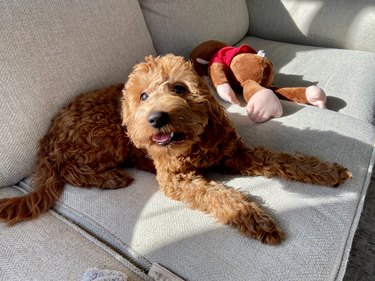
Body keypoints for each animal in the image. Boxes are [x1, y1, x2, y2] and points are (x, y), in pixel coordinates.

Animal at [0, 54, 352, 243]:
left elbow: (285, 159)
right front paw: (254, 218)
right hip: (107, 135)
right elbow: (221, 196)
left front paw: (326, 171)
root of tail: (47, 137)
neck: (193, 141)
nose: (156, 118)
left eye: (180, 88)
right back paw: (110, 178)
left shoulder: (237, 154)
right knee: (70, 170)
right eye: (143, 96)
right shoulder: (175, 179)